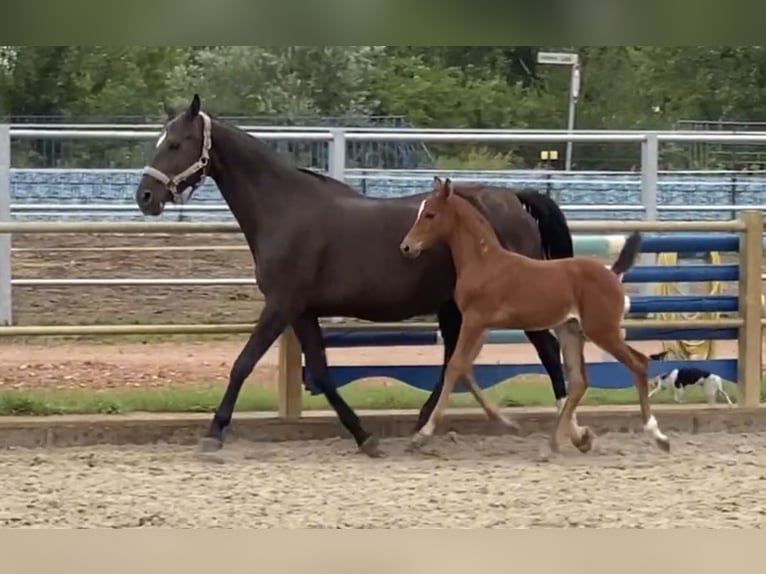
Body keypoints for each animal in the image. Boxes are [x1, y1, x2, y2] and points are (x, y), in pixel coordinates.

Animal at [134, 94, 575, 457]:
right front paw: (365, 437)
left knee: (546, 350)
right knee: (457, 359)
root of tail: (513, 198)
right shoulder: (302, 312)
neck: (284, 209)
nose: (145, 197)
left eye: (176, 144)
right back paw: (423, 425)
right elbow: (321, 373)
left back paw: (564, 430)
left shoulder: (281, 305)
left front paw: (213, 433)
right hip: (453, 307)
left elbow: (243, 363)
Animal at [399, 177, 671, 455]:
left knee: (638, 363)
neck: (485, 262)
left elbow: (455, 366)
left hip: (601, 331)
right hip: (571, 330)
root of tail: (612, 272)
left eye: (430, 214)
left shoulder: (475, 320)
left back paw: (657, 436)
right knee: (579, 381)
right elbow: (464, 368)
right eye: (421, 212)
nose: (406, 247)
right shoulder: (481, 325)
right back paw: (562, 441)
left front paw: (423, 434)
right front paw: (507, 421)